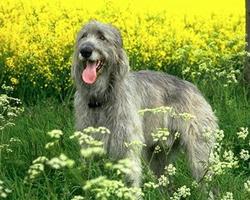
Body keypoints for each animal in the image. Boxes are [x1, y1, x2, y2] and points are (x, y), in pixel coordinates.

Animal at [71, 20, 218, 188]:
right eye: (83, 36)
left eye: (102, 37)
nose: (85, 50)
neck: (101, 97)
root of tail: (196, 90)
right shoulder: (88, 142)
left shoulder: (127, 143)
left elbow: (131, 176)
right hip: (158, 154)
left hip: (200, 152)